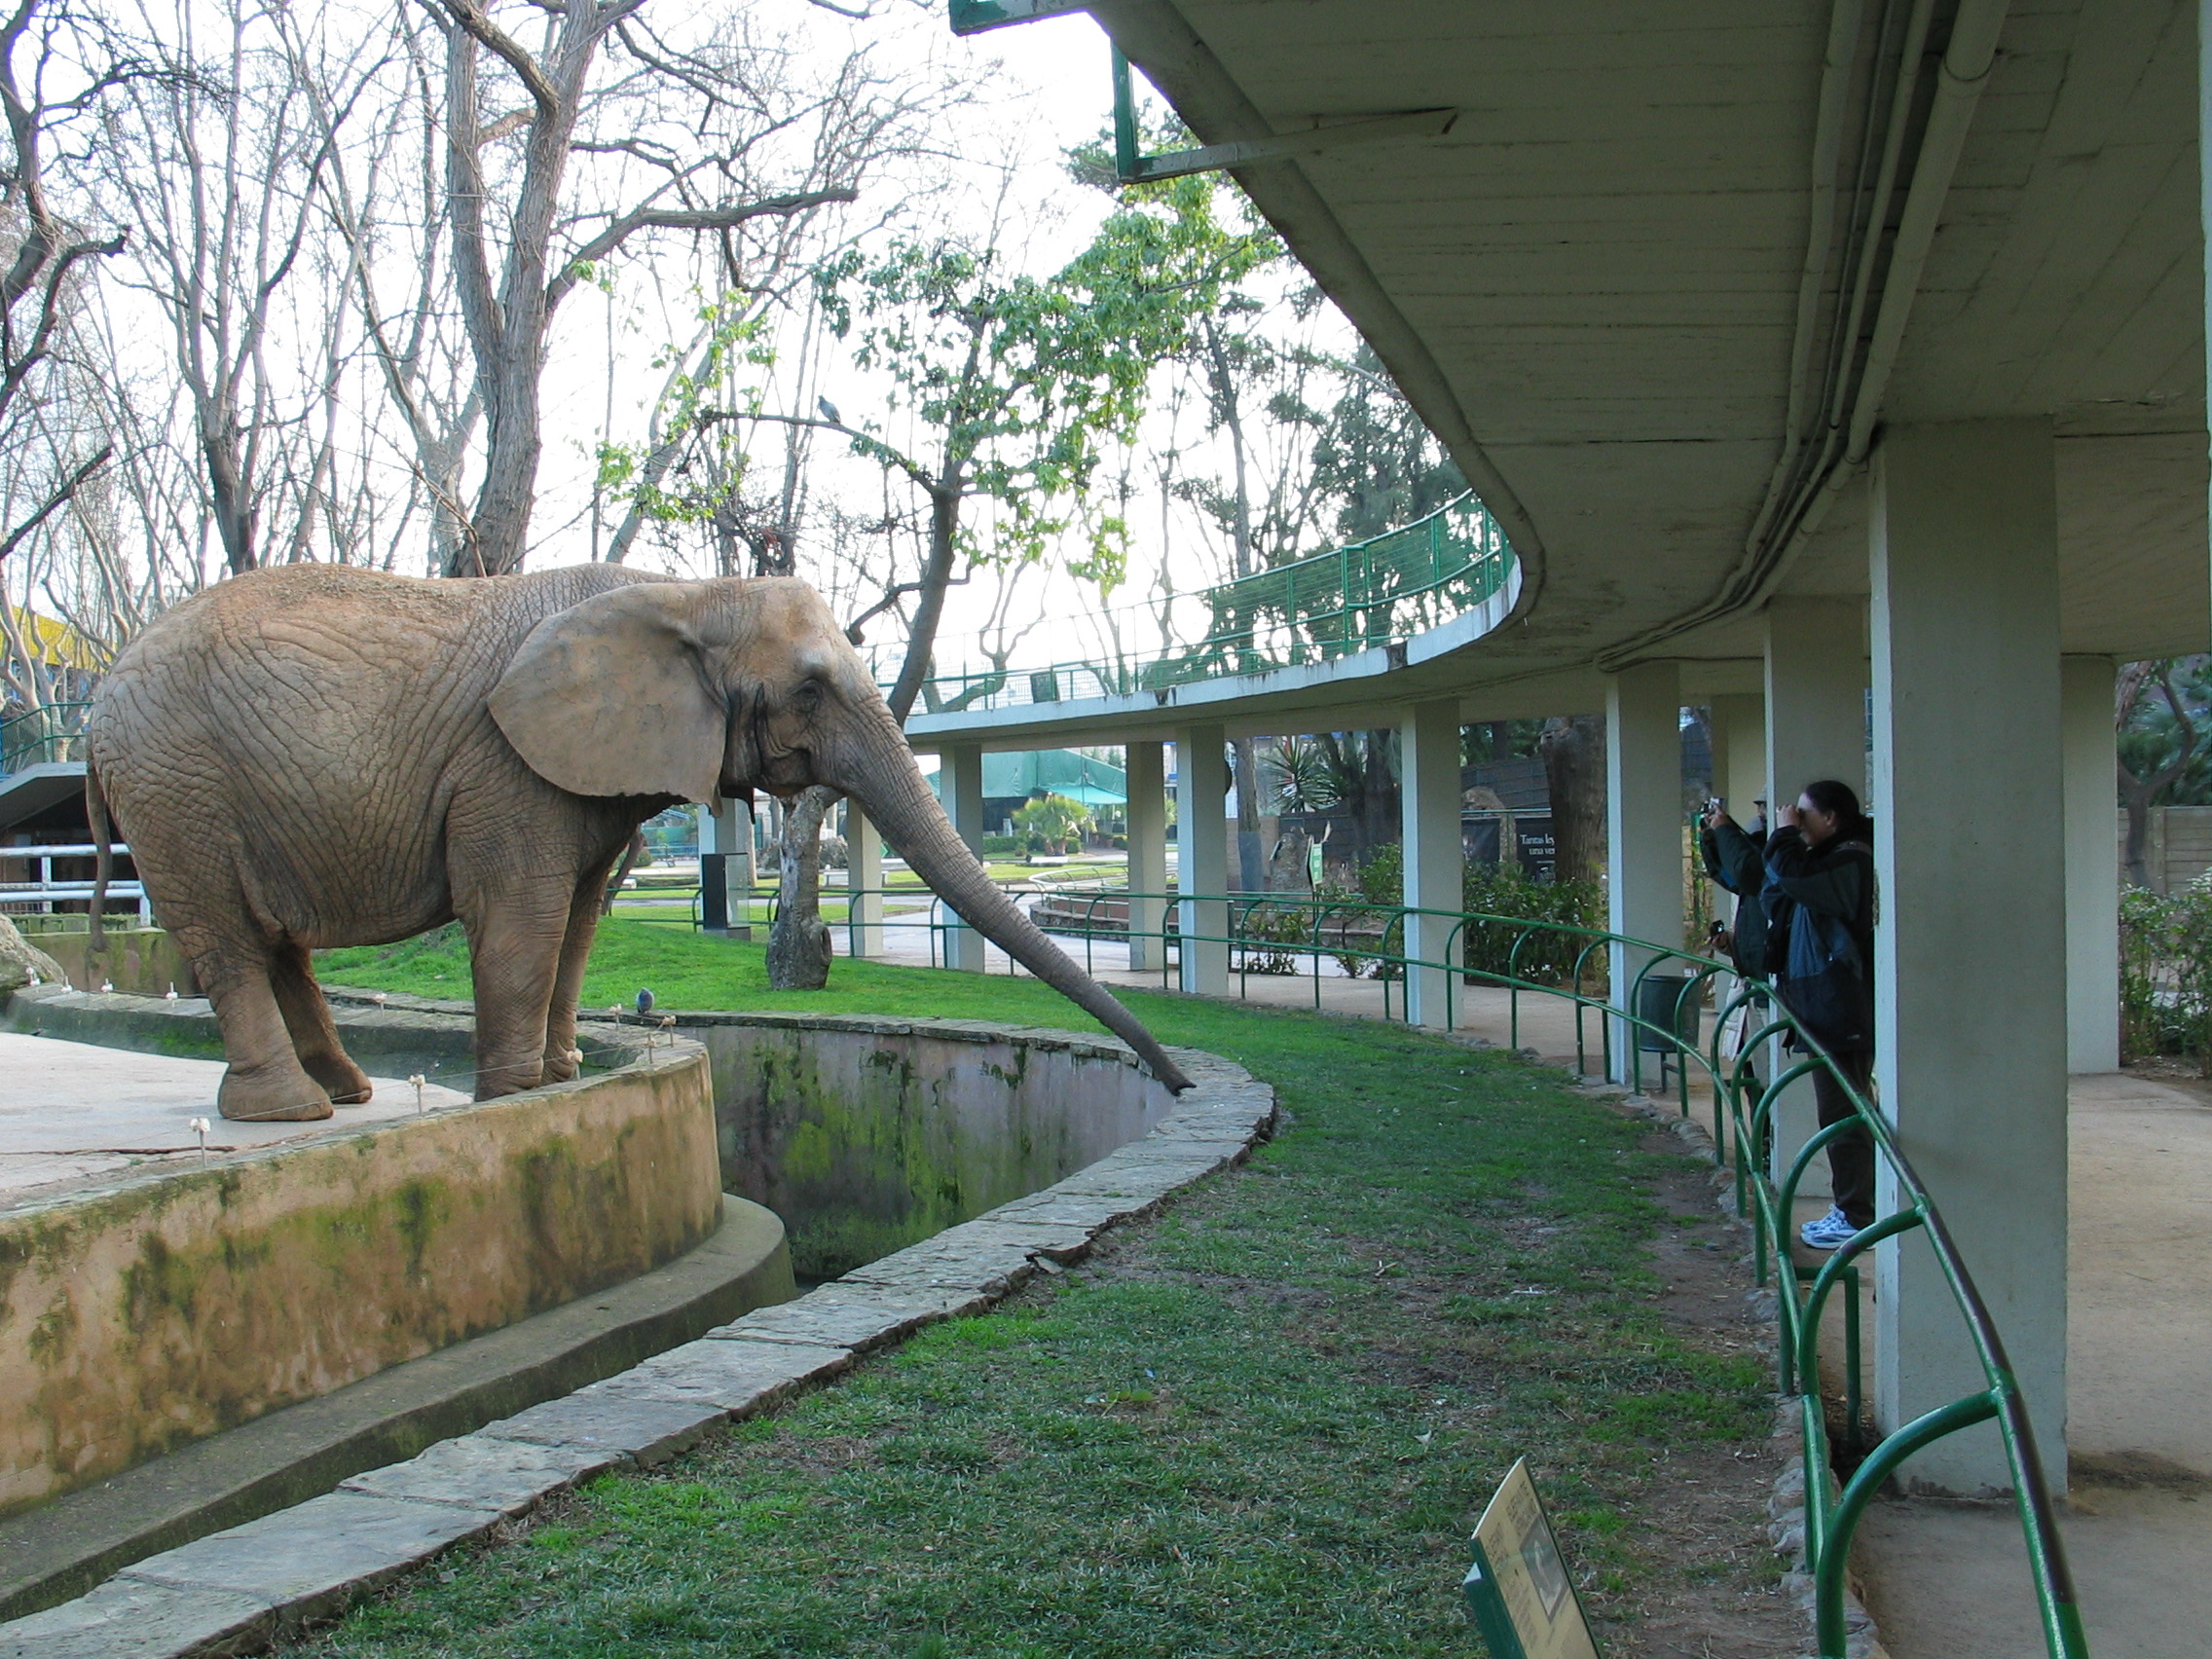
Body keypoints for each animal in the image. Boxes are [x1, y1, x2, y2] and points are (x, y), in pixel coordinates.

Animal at [82, 566, 1194, 1124]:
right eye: (808, 688)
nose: (1179, 1085)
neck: (680, 586)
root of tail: (96, 708)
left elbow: (576, 915)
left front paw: (563, 1076)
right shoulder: (504, 763)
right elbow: (522, 914)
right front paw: (511, 1101)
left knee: (273, 942)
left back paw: (345, 1093)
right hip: (176, 787)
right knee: (227, 941)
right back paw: (292, 1116)